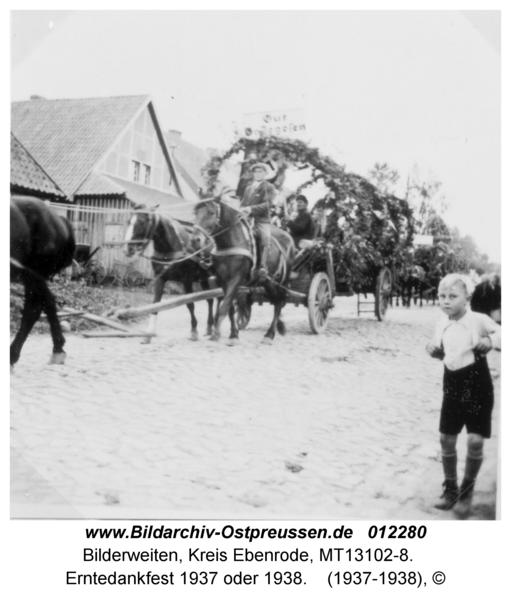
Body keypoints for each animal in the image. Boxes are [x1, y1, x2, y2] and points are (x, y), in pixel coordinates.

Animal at [125, 205, 215, 338]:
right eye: (129, 221)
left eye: (142, 222)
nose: (128, 248)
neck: (171, 249)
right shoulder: (160, 278)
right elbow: (156, 303)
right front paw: (149, 333)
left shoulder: (186, 281)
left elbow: (190, 304)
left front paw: (194, 330)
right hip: (203, 278)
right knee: (210, 299)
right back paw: (209, 327)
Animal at [192, 192, 296, 342]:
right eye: (195, 212)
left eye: (211, 212)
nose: (195, 240)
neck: (231, 242)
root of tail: (289, 238)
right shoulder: (222, 280)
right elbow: (229, 307)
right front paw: (233, 334)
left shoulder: (236, 279)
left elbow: (223, 307)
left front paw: (216, 333)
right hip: (268, 283)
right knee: (276, 300)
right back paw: (277, 327)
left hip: (283, 281)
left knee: (278, 303)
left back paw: (269, 334)